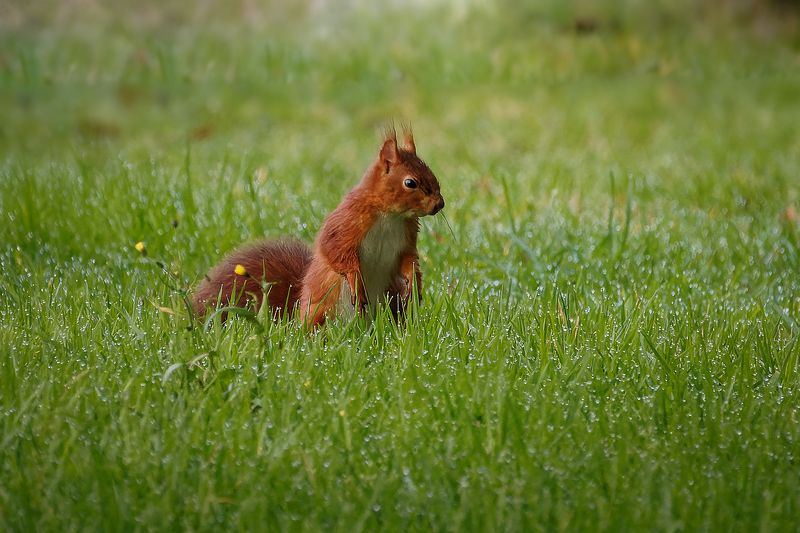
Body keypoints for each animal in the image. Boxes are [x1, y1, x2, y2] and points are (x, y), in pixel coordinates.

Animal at [192, 127, 445, 328]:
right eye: (410, 182)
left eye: (432, 173)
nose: (439, 204)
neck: (390, 216)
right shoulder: (347, 223)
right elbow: (335, 251)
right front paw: (355, 281)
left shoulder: (406, 235)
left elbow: (409, 259)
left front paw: (414, 284)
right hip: (322, 308)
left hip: (391, 301)